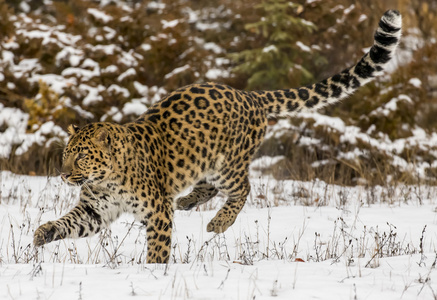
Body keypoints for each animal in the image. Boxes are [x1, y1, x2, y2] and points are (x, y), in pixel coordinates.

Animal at [34, 9, 402, 262]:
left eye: (82, 156)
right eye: (65, 155)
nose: (63, 175)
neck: (105, 180)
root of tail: (250, 96)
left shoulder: (156, 212)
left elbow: (158, 247)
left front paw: (154, 272)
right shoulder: (94, 211)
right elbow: (69, 222)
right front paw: (42, 233)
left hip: (229, 165)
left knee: (243, 189)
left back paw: (219, 223)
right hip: (204, 161)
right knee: (207, 186)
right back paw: (186, 201)